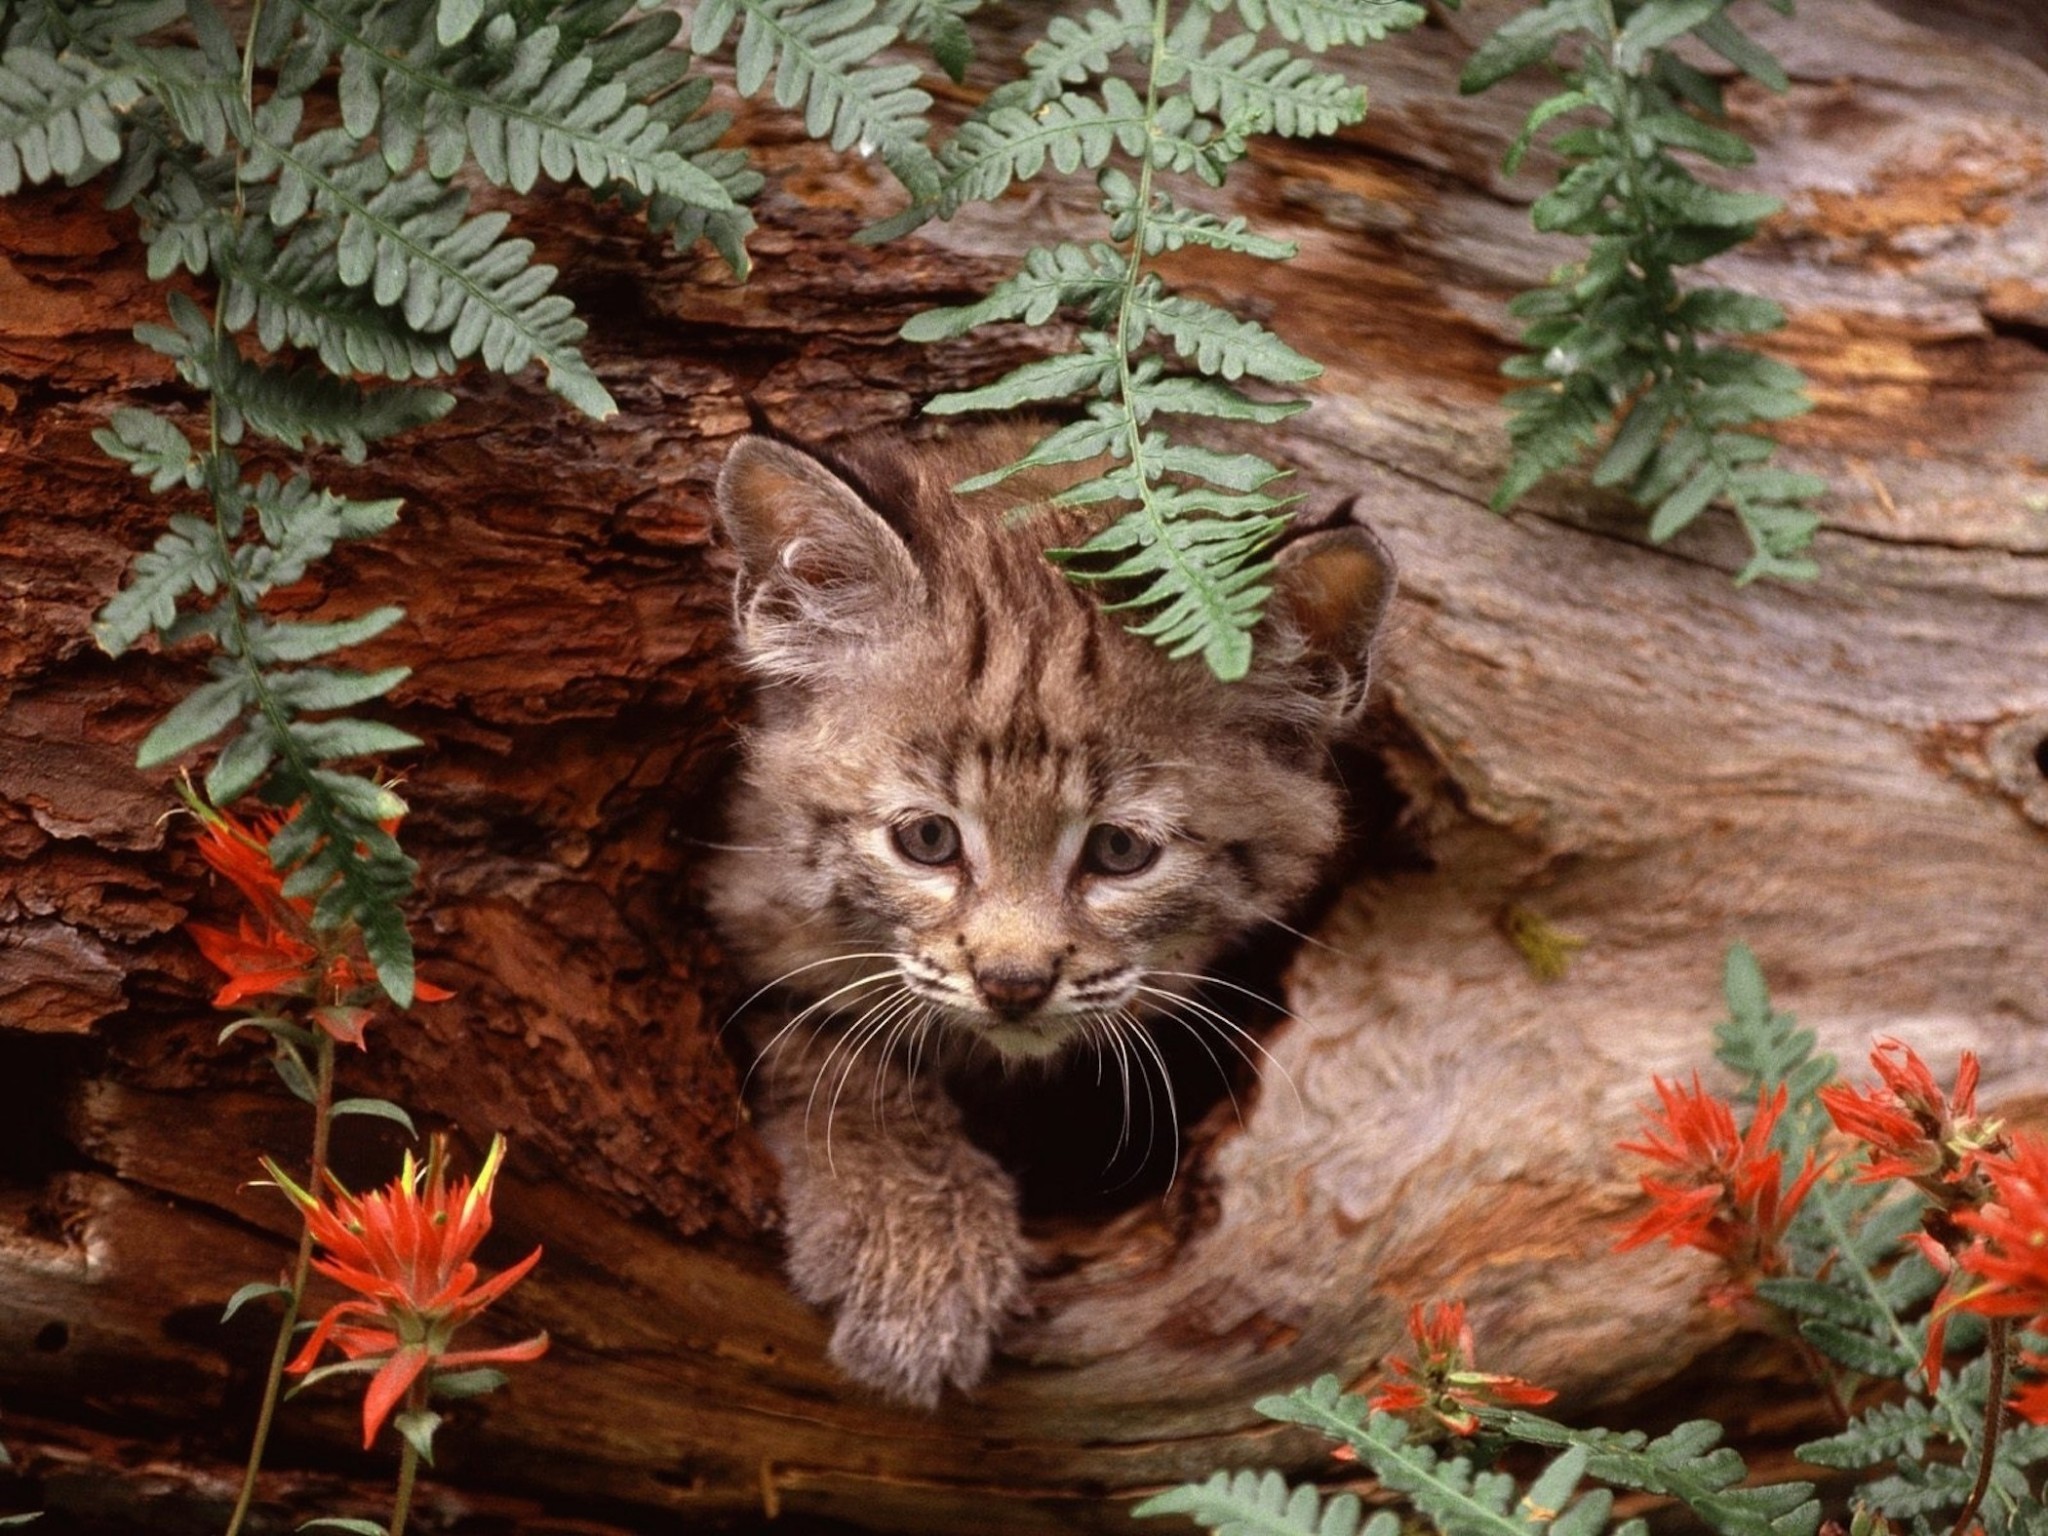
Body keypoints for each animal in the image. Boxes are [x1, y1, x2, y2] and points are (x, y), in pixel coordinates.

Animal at [704, 423, 1392, 1409]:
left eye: (1120, 852)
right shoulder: (749, 913)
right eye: (927, 839)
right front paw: (910, 1244)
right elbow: (833, 1046)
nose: (1013, 983)